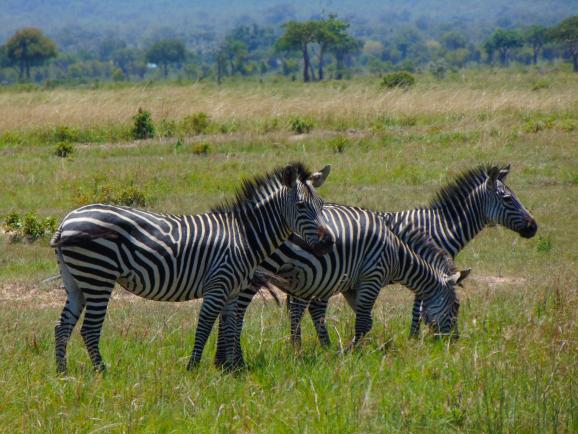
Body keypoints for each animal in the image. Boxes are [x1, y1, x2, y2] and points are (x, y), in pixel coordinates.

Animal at [52, 163, 336, 372]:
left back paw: (62, 373)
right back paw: (102, 372)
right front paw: (194, 368)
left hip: (76, 282)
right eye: (301, 206)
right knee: (89, 330)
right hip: (98, 276)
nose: (328, 243)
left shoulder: (232, 291)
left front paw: (233, 370)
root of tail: (66, 221)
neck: (244, 236)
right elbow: (205, 326)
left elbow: (230, 326)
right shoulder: (217, 285)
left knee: (62, 326)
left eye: (321, 205)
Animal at [216, 205, 468, 368]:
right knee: (237, 313)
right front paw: (348, 352)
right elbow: (363, 323)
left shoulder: (352, 287)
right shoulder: (372, 276)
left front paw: (362, 348)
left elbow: (366, 321)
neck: (396, 252)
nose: (454, 341)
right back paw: (236, 361)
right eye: (456, 306)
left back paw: (223, 361)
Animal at [286, 163, 536, 346]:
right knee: (303, 307)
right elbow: (418, 306)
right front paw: (414, 337)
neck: (442, 227)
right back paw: (309, 347)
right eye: (508, 199)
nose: (534, 228)